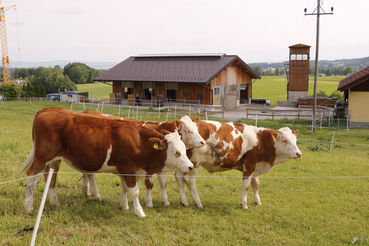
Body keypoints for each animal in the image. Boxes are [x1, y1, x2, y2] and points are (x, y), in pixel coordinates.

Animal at [20, 107, 194, 217]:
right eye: (176, 152)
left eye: (184, 149)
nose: (191, 166)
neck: (138, 140)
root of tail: (47, 110)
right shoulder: (129, 167)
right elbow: (134, 191)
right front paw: (140, 212)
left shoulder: (124, 169)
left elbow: (124, 188)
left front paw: (125, 206)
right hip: (42, 157)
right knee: (32, 175)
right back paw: (28, 207)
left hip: (54, 160)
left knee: (50, 177)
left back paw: (54, 203)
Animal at [148, 119, 300, 209]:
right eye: (285, 140)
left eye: (295, 140)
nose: (299, 153)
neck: (260, 140)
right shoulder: (249, 166)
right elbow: (246, 186)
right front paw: (244, 204)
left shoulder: (255, 167)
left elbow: (256, 185)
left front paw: (257, 201)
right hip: (194, 163)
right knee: (190, 182)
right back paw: (198, 202)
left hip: (185, 163)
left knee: (179, 178)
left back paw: (184, 201)